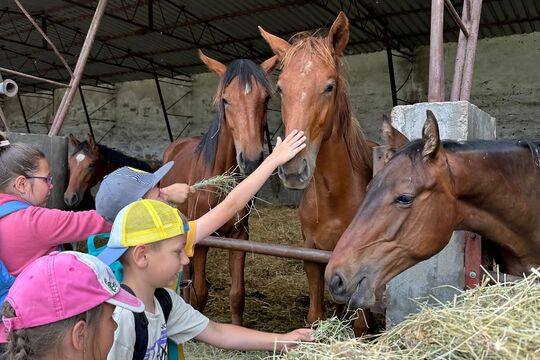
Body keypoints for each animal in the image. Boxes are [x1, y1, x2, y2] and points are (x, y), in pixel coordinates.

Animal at [160, 51, 278, 326]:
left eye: (266, 98)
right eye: (225, 100)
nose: (251, 160)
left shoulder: (240, 237)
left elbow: (237, 294)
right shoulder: (202, 241)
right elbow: (200, 293)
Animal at [260, 11, 378, 332]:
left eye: (329, 86)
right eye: (280, 89)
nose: (292, 169)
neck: (334, 197)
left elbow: (361, 326)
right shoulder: (313, 257)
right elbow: (315, 317)